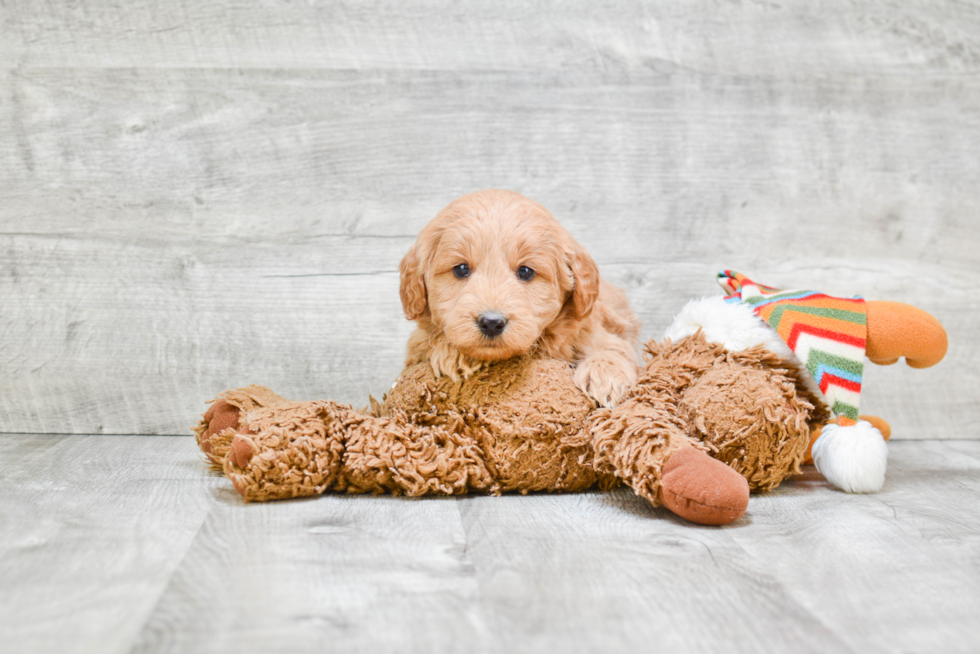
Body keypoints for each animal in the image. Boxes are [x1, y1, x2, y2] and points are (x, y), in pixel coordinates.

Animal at [398, 187, 644, 408]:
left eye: (526, 272)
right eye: (461, 269)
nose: (491, 323)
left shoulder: (597, 331)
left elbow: (614, 349)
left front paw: (606, 376)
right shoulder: (415, 349)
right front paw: (455, 354)